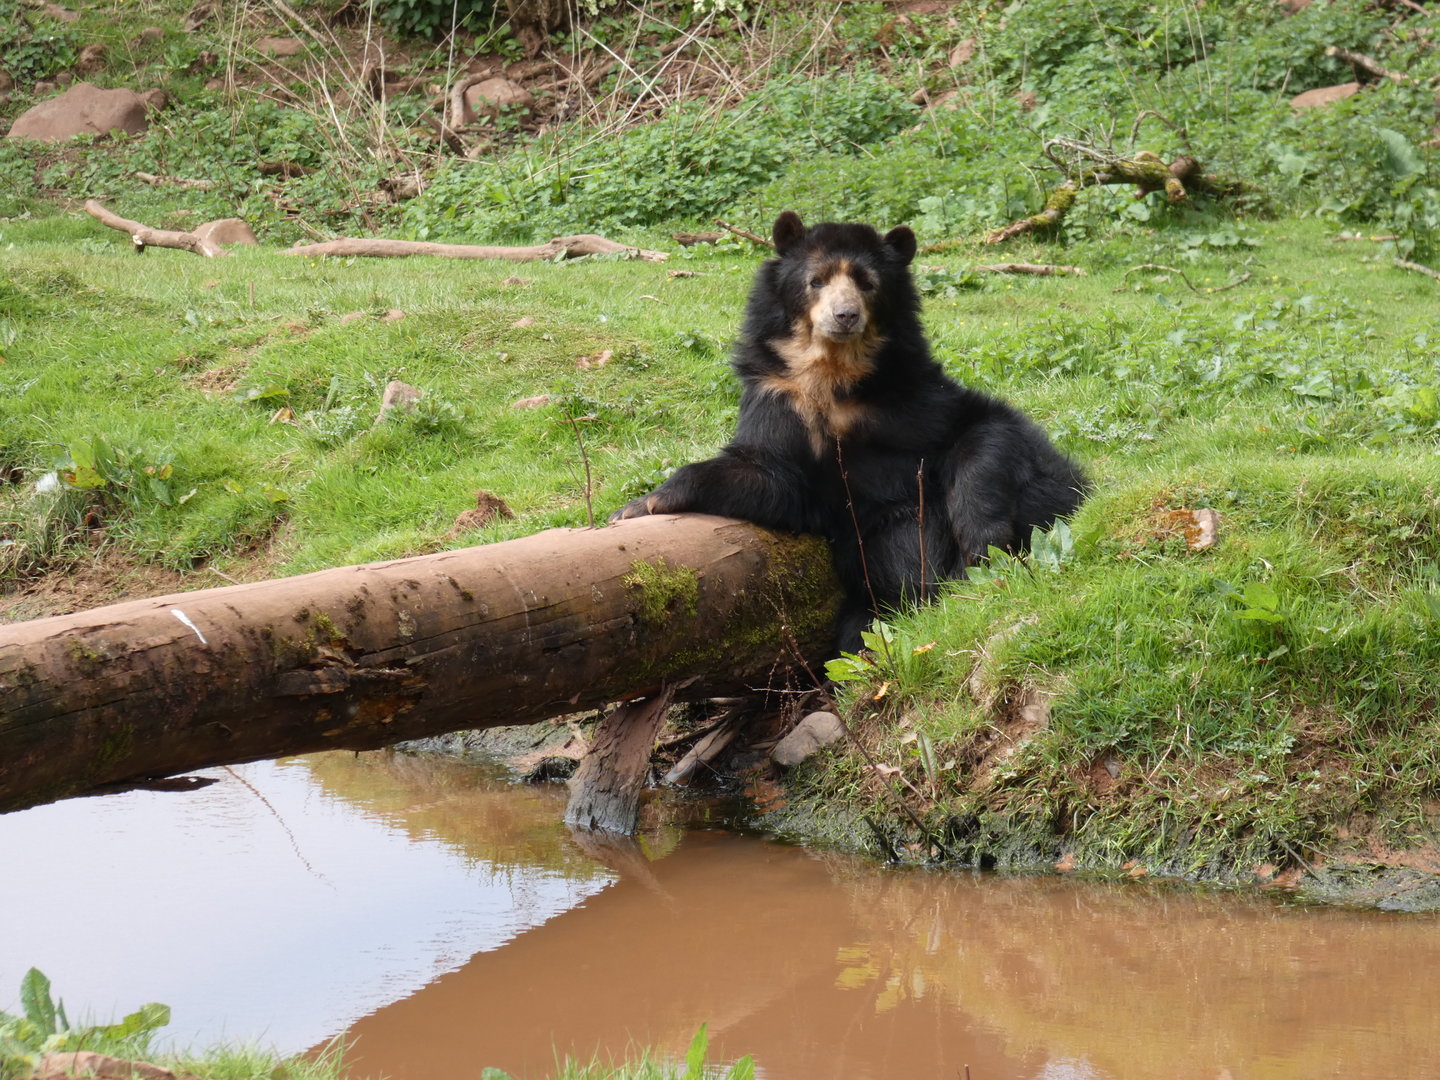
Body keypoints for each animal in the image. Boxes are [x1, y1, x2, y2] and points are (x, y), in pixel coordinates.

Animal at [612, 210, 1088, 653]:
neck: (834, 374)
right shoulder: (779, 397)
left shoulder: (909, 397)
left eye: (867, 283)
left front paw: (980, 546)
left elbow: (978, 430)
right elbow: (770, 473)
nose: (845, 315)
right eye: (816, 281)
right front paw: (637, 507)